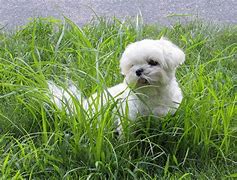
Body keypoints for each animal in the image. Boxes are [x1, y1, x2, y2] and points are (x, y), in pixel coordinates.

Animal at [48, 38, 185, 131]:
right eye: (132, 65)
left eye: (153, 62)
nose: (138, 71)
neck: (152, 94)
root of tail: (83, 106)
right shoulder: (129, 115)